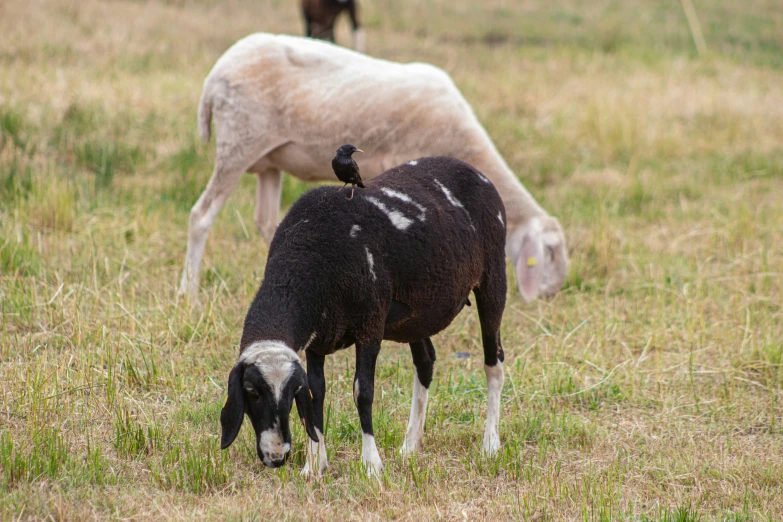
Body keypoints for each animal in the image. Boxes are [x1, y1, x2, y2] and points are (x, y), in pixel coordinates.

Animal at [180, 32, 568, 300]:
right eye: (549, 253)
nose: (549, 298)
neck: (464, 143)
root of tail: (215, 74)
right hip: (239, 143)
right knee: (201, 216)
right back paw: (189, 292)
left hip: (269, 162)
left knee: (266, 222)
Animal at [220, 155, 508, 476]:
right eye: (251, 392)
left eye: (291, 392)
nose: (276, 457)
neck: (306, 253)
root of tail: (471, 169)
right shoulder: (318, 338)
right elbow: (317, 392)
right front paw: (315, 465)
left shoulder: (370, 326)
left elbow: (363, 391)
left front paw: (371, 464)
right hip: (415, 317)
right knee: (425, 363)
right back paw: (411, 445)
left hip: (493, 278)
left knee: (494, 362)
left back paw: (490, 443)